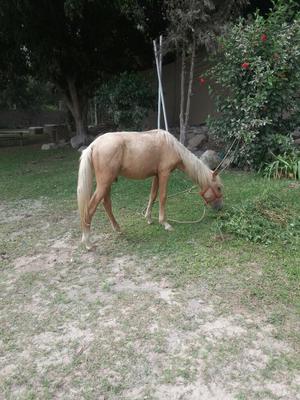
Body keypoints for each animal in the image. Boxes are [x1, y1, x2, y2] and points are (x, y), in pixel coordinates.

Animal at [77, 129, 223, 247]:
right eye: (219, 188)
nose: (220, 208)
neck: (172, 147)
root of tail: (93, 145)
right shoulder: (164, 173)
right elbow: (162, 196)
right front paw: (165, 223)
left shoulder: (156, 175)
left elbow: (152, 195)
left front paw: (148, 218)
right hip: (104, 184)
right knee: (90, 208)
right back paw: (88, 242)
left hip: (107, 184)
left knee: (107, 204)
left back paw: (117, 229)